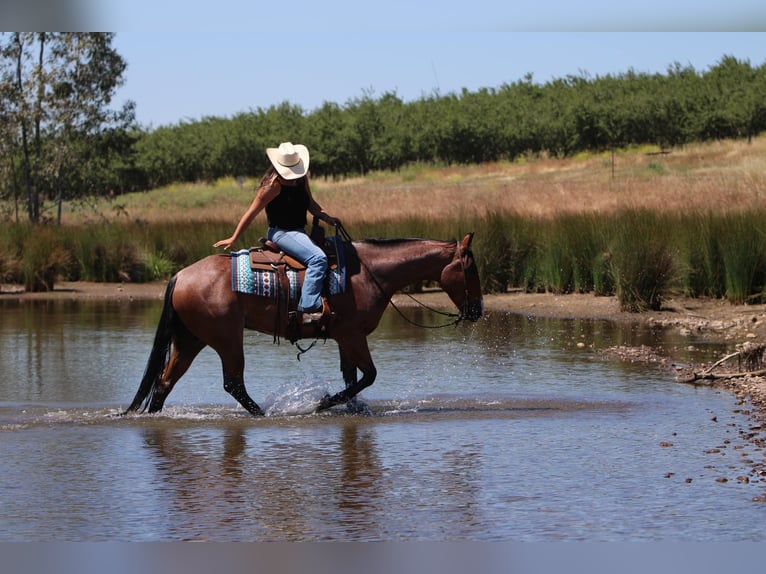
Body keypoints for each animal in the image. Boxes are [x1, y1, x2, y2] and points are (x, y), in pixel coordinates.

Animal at [127, 234, 486, 418]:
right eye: (471, 269)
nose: (477, 311)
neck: (368, 273)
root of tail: (180, 275)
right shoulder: (352, 335)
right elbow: (368, 375)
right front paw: (323, 402)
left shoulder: (345, 338)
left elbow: (352, 377)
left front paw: (351, 408)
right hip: (226, 339)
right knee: (233, 384)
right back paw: (265, 414)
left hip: (190, 339)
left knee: (165, 381)